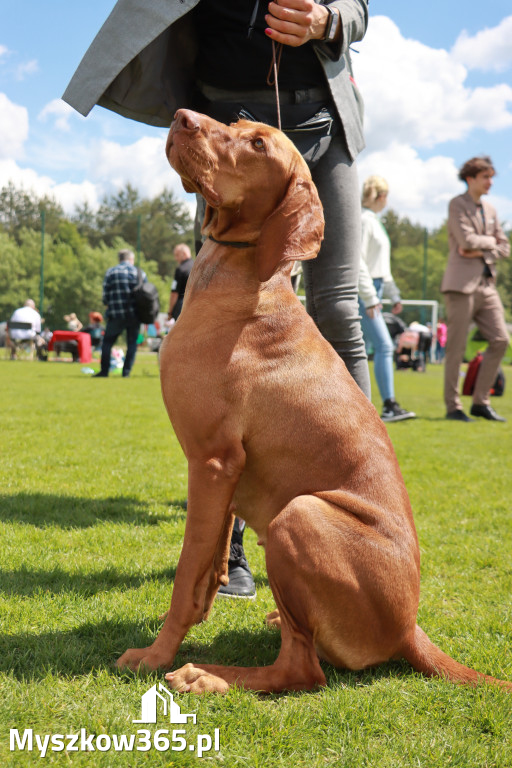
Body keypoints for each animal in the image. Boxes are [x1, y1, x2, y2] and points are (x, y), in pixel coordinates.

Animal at [115, 109, 508, 696]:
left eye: (258, 144)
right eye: (235, 120)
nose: (183, 117)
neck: (248, 277)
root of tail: (409, 629)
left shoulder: (211, 460)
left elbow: (186, 574)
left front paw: (157, 653)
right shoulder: (223, 474)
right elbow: (207, 568)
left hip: (297, 515)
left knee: (302, 670)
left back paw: (205, 674)